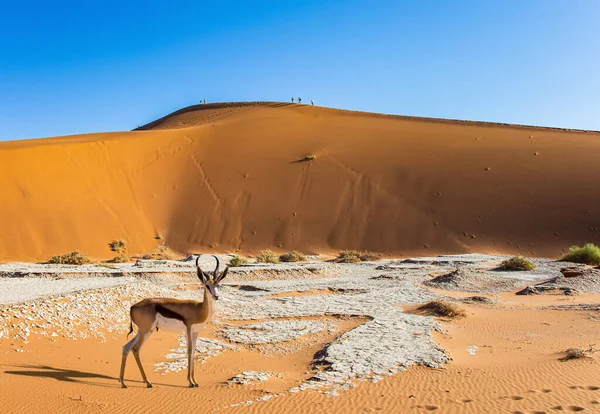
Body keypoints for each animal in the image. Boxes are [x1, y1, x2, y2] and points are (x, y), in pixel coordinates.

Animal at [118, 256, 229, 388]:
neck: (199, 310)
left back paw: (123, 382)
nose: (216, 296)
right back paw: (148, 382)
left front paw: (195, 381)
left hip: (143, 331)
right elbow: (189, 350)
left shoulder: (196, 332)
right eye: (207, 285)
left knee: (126, 347)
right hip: (146, 331)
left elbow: (194, 351)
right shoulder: (188, 329)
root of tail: (132, 307)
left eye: (218, 284)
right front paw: (190, 382)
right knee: (135, 349)